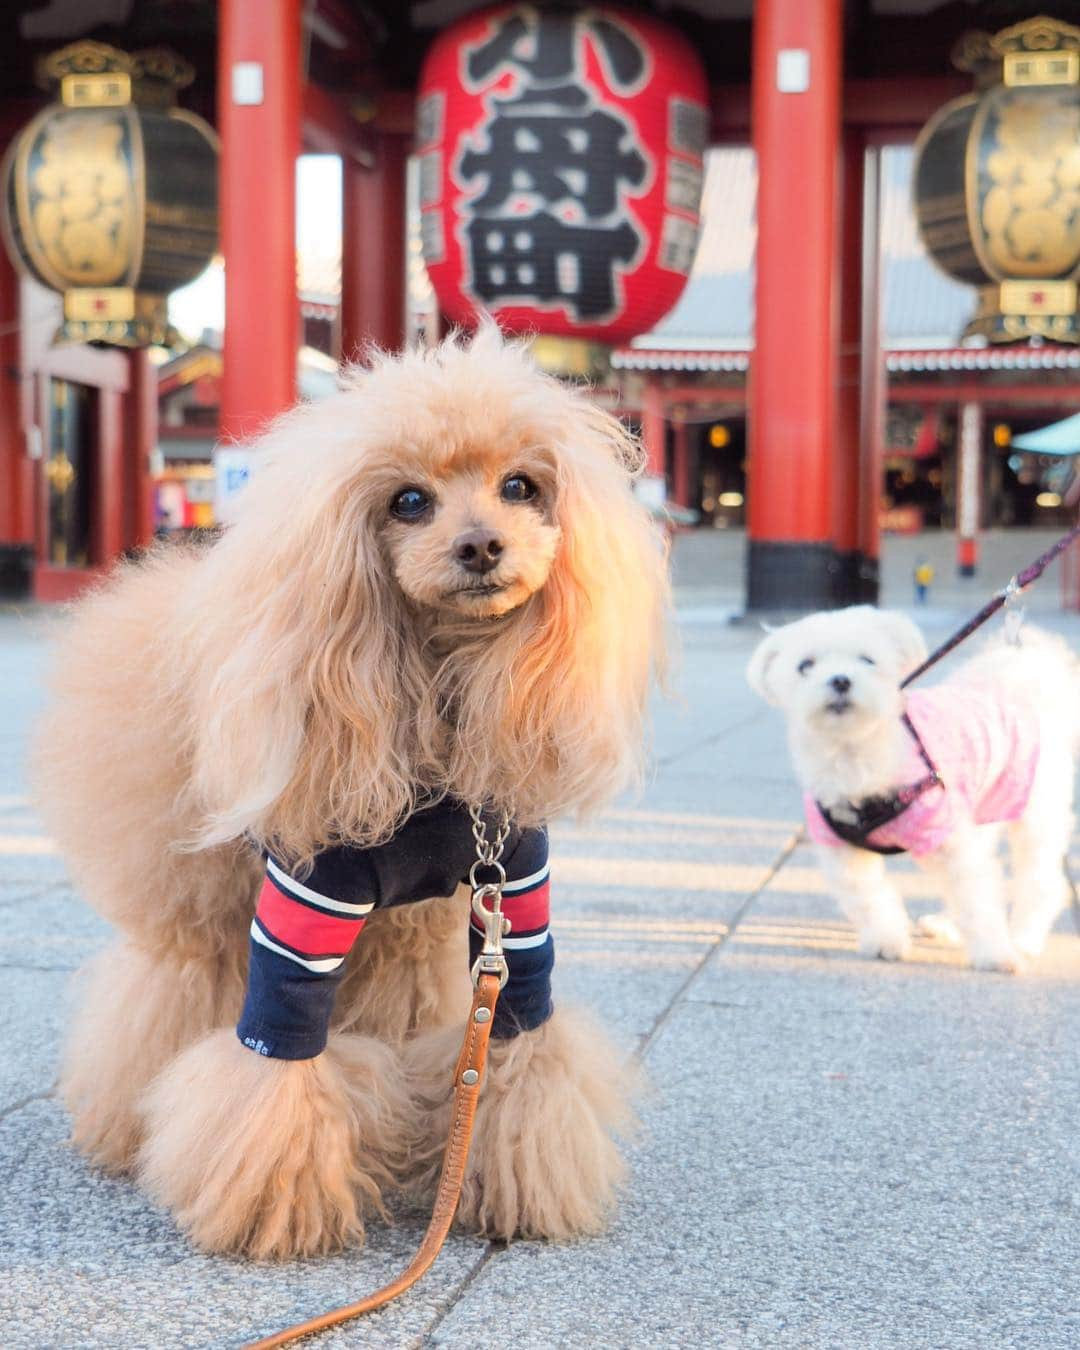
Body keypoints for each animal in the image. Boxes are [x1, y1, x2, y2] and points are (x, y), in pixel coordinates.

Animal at [750, 607, 1080, 977]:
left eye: (867, 660)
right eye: (805, 665)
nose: (840, 680)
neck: (856, 757)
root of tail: (1020, 680)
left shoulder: (946, 836)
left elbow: (976, 898)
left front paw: (996, 954)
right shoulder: (843, 850)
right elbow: (867, 896)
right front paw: (885, 940)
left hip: (1036, 809)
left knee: (1040, 880)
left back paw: (1023, 938)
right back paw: (948, 925)